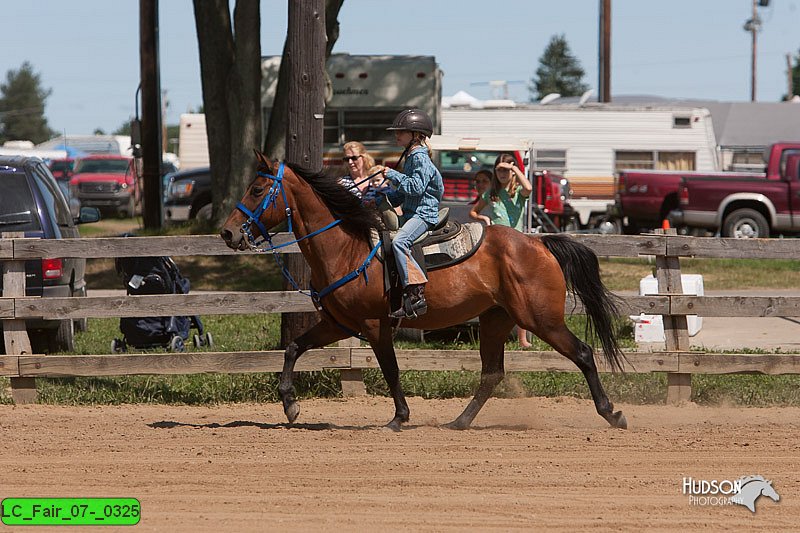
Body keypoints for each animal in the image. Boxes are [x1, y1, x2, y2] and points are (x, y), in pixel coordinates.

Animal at [222, 156, 628, 430]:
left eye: (257, 189)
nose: (228, 232)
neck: (347, 248)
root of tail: (538, 243)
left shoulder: (375, 325)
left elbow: (390, 370)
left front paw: (399, 418)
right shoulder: (338, 324)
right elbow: (293, 348)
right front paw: (290, 405)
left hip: (540, 319)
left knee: (583, 353)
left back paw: (612, 413)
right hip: (496, 320)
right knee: (491, 374)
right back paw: (459, 422)